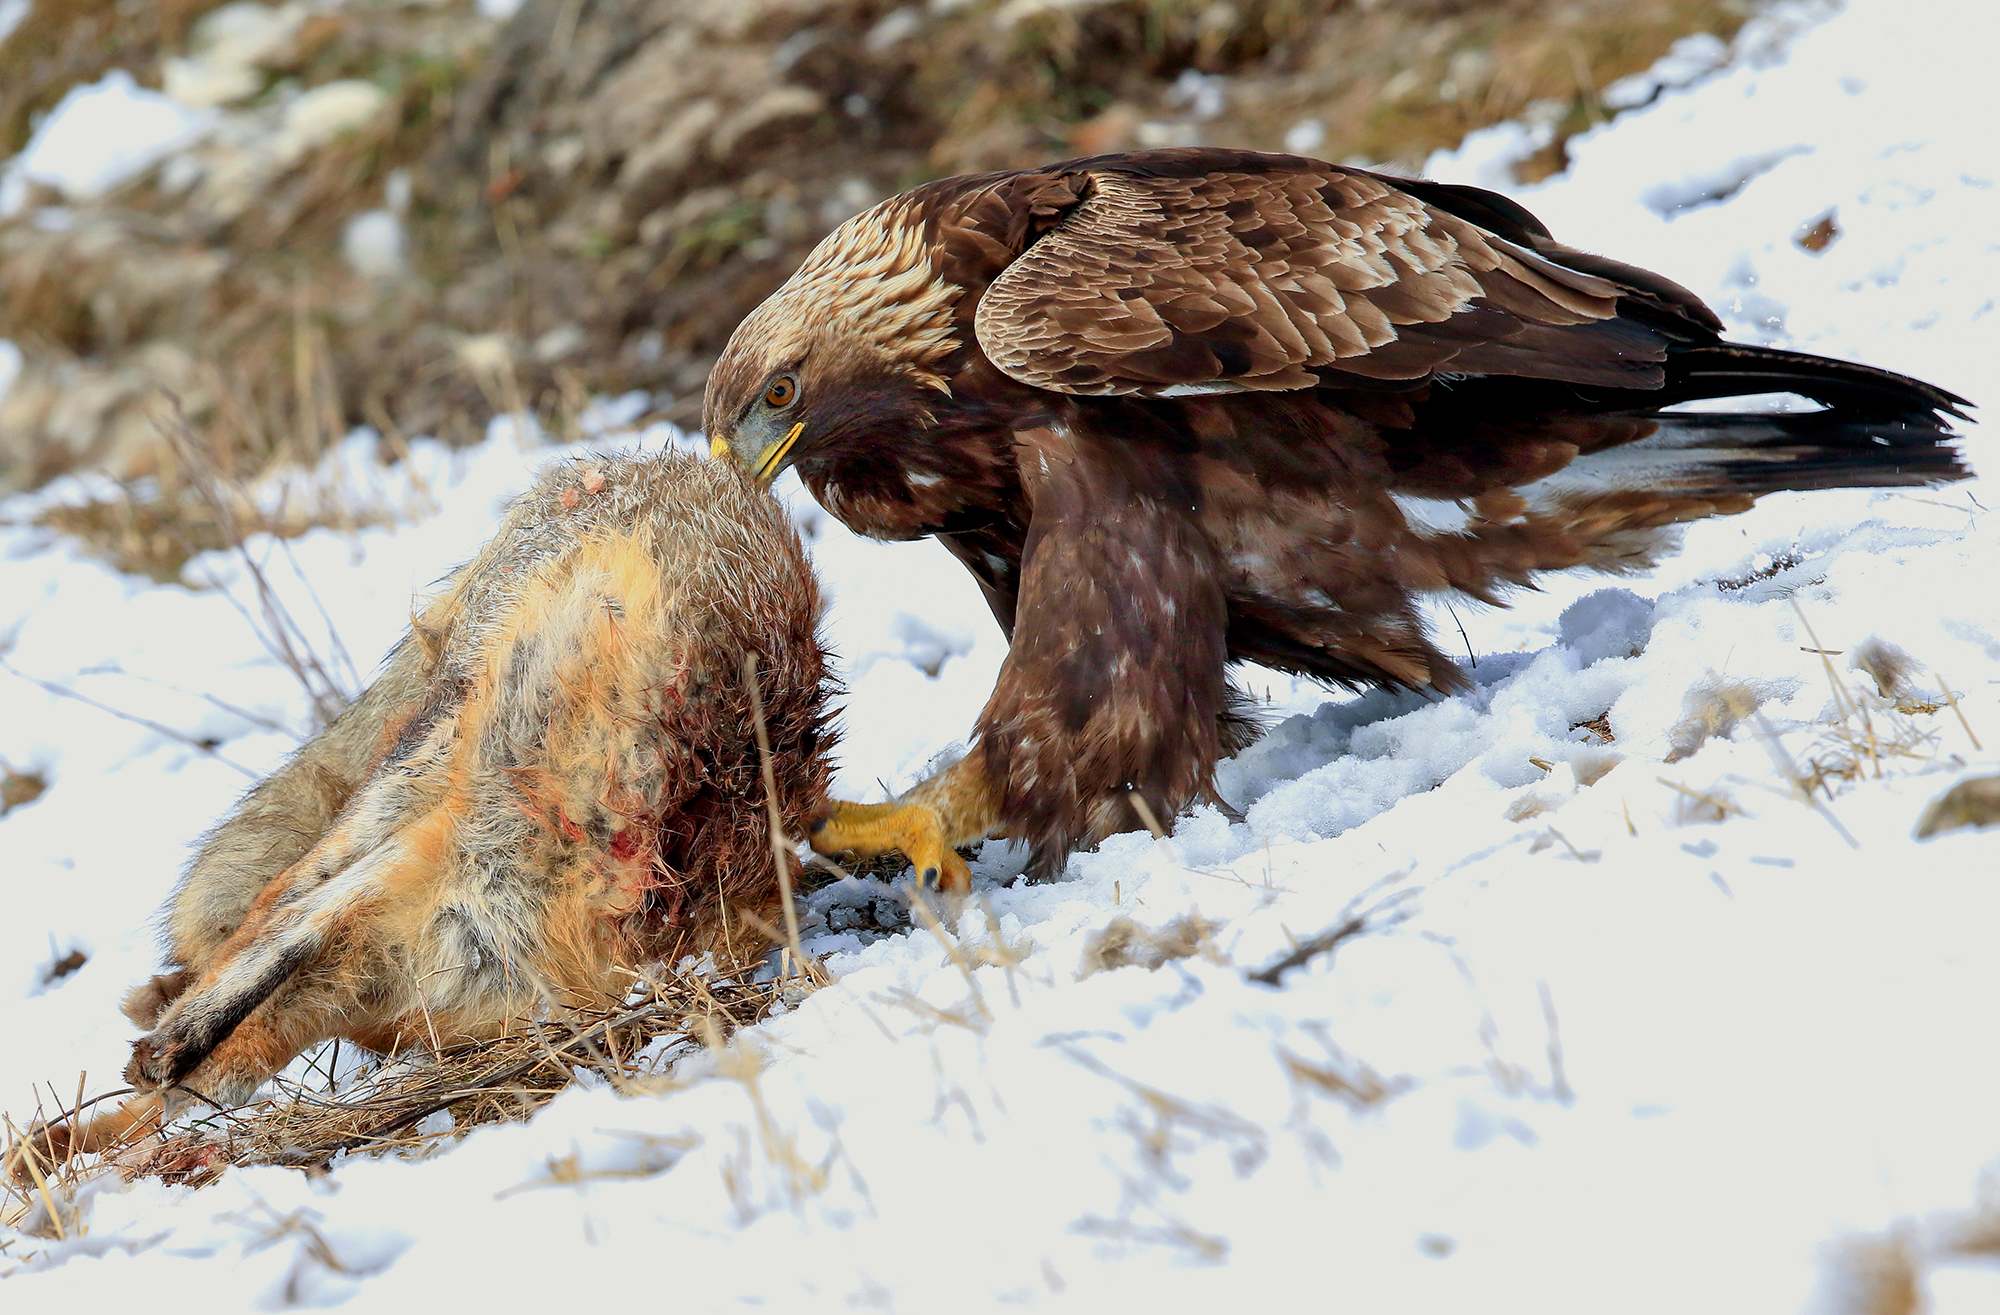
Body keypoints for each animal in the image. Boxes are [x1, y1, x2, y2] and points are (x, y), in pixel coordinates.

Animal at [12, 451, 833, 1174]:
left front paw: (106, 1135)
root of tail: (677, 460)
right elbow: (282, 938)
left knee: (278, 935)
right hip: (441, 746)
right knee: (284, 898)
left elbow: (236, 1060)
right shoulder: (438, 856)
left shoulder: (403, 962)